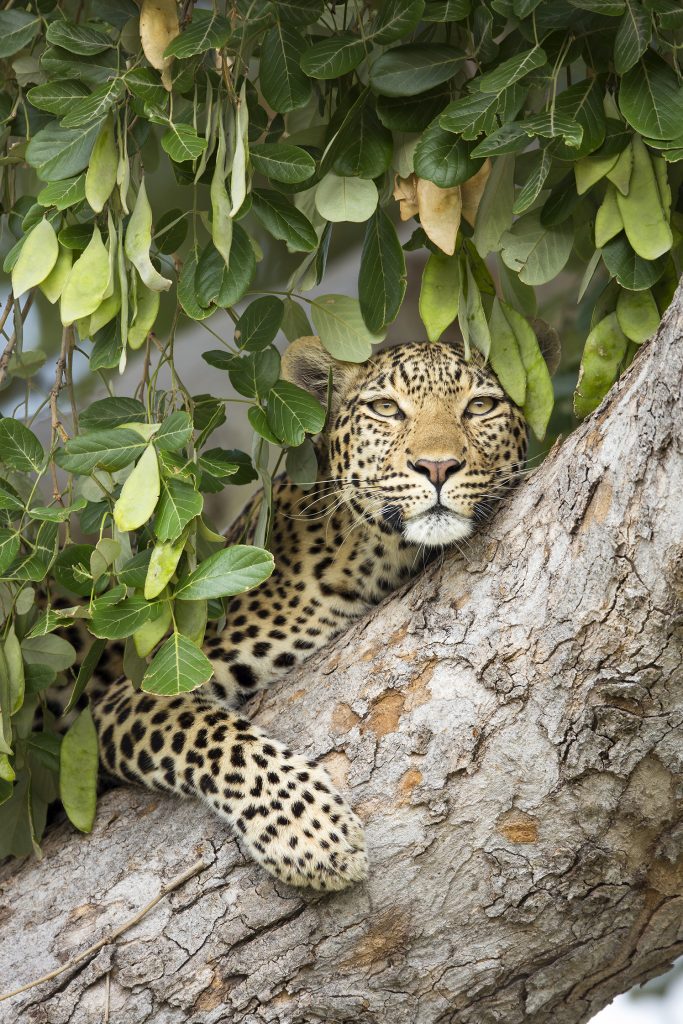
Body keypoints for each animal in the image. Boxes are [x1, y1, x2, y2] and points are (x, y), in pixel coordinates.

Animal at [82, 339, 528, 892]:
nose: (438, 466)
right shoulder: (137, 692)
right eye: (387, 408)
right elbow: (216, 735)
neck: (376, 556)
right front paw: (309, 832)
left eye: (479, 406)